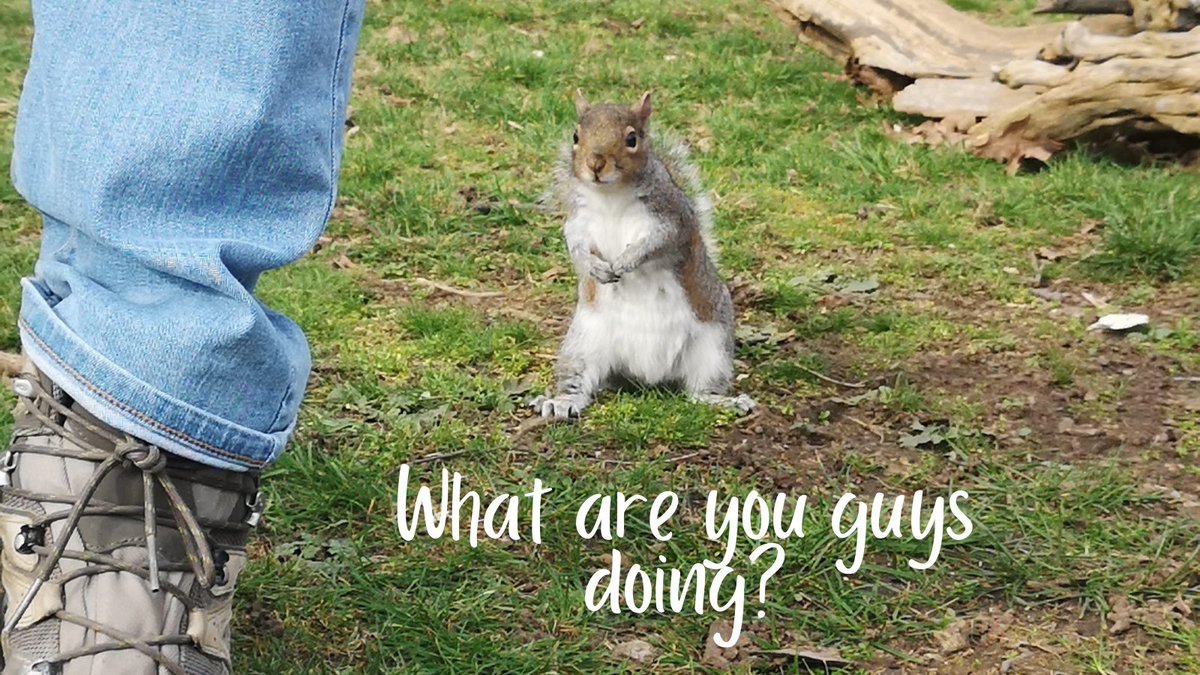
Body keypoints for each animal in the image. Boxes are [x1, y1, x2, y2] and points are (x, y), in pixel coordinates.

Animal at [531, 90, 754, 419]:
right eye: (575, 135)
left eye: (632, 138)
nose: (595, 163)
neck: (610, 197)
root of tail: (649, 376)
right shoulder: (578, 224)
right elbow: (576, 249)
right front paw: (595, 268)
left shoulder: (673, 220)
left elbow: (655, 243)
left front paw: (627, 260)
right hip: (582, 344)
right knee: (579, 382)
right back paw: (562, 401)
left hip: (713, 347)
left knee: (698, 392)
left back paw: (724, 401)